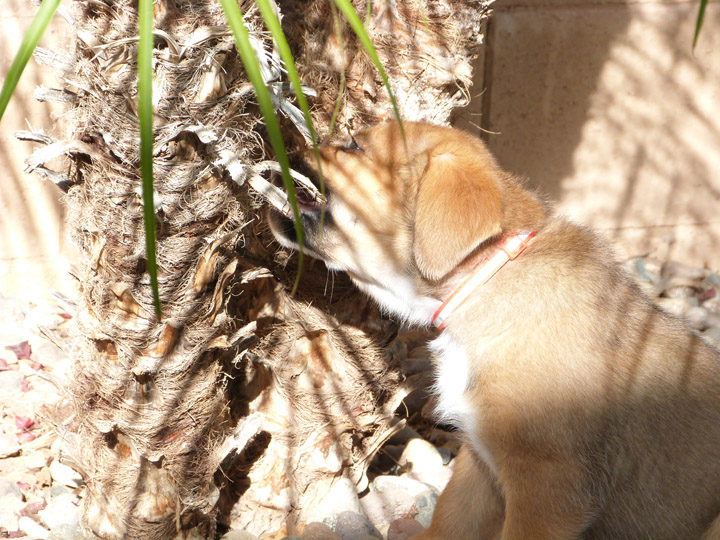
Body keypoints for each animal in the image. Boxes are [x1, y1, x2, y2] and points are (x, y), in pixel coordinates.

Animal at [268, 122, 720, 540]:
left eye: (355, 146)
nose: (273, 134)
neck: (484, 280)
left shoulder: (549, 487)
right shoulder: (479, 464)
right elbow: (448, 519)